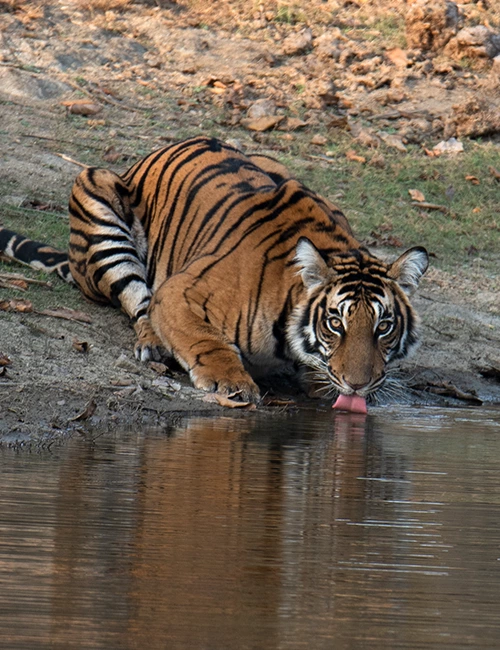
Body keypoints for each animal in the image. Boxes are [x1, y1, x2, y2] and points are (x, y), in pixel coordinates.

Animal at [0, 134, 430, 402]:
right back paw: (155, 344)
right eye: (335, 323)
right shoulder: (179, 292)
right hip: (96, 196)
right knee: (138, 301)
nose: (358, 386)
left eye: (384, 327)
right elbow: (203, 339)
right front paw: (231, 381)